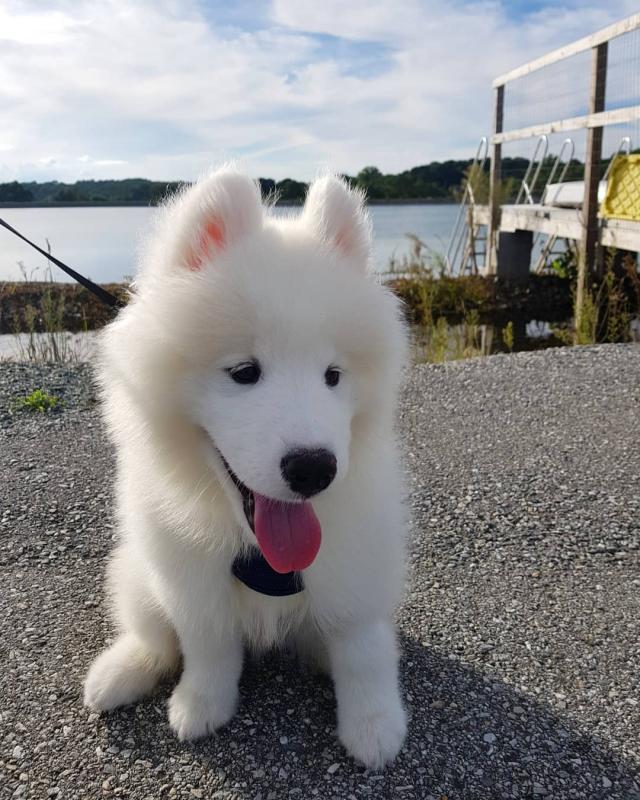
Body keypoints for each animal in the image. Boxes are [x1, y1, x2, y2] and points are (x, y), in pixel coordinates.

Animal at [82, 169, 408, 768]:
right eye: (244, 372)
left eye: (333, 375)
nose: (314, 469)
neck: (256, 549)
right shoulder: (192, 577)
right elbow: (207, 645)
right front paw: (200, 704)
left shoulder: (354, 566)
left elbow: (363, 649)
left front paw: (374, 728)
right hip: (140, 570)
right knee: (151, 632)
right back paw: (120, 673)